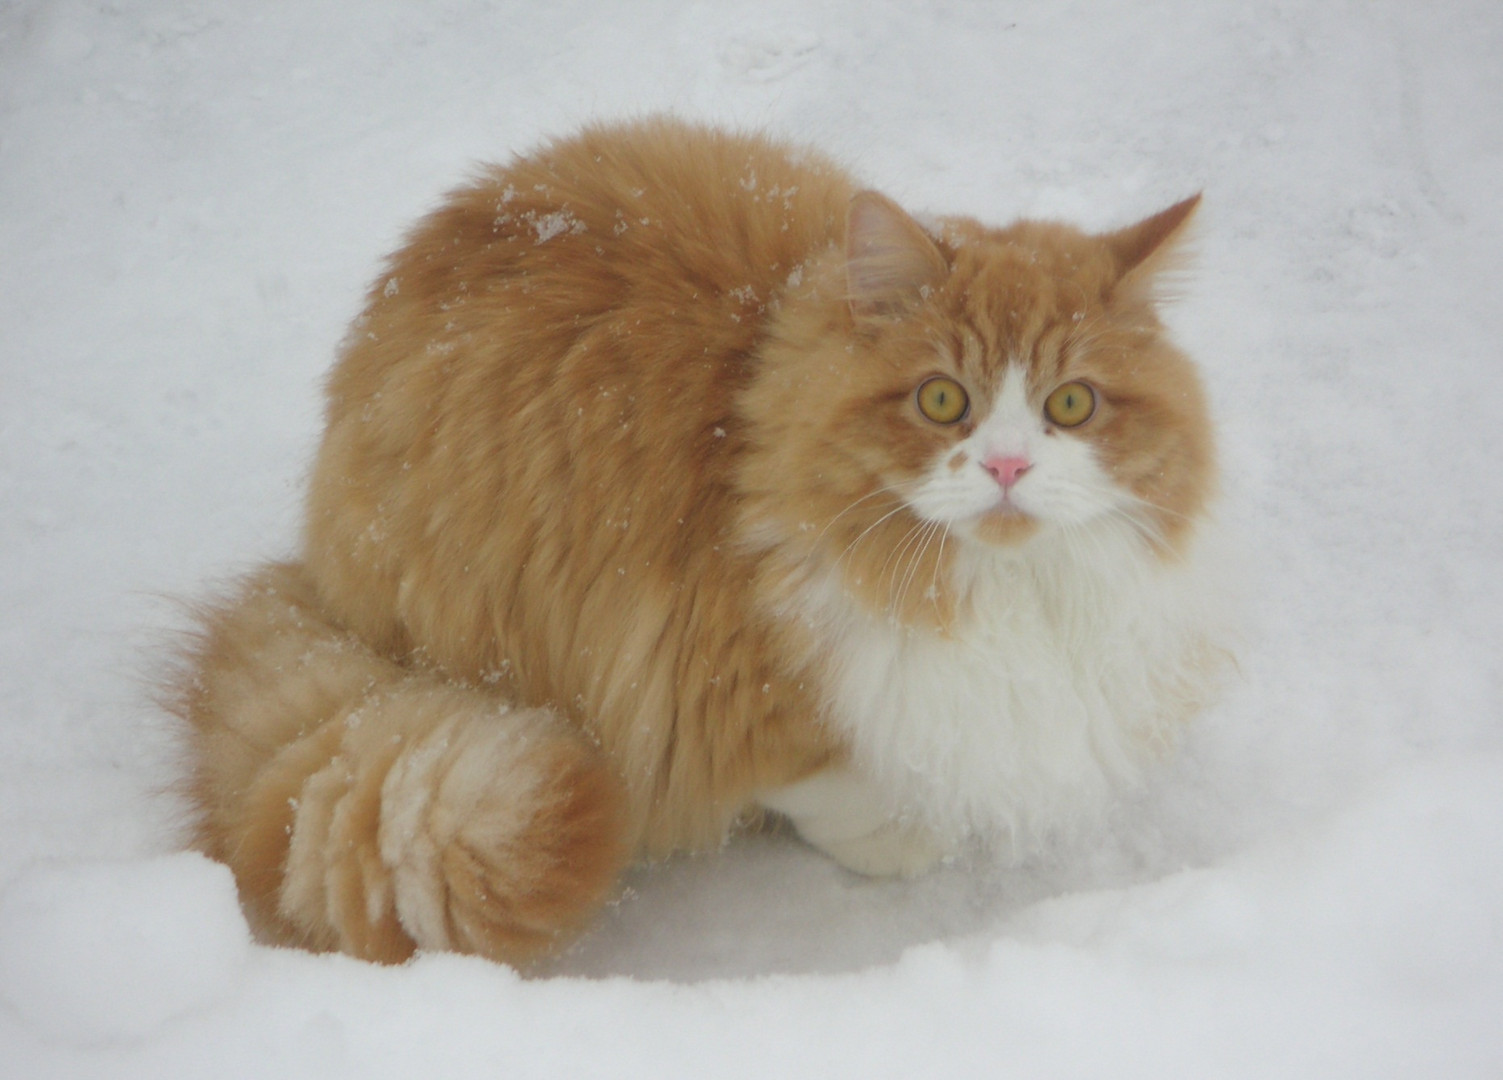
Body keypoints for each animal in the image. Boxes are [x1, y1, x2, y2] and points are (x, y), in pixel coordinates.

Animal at [175, 116, 1226, 973]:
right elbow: (820, 774)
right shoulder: (715, 674)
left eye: (1070, 405)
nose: (1006, 466)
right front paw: (894, 835)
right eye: (941, 400)